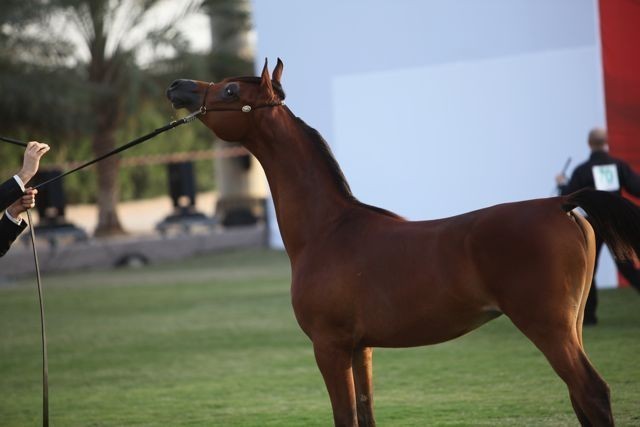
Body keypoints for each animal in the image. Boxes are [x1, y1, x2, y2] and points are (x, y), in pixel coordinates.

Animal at [166, 58, 640, 426]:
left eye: (230, 89)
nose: (179, 86)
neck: (328, 229)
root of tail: (561, 201)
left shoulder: (329, 347)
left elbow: (345, 416)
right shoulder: (361, 349)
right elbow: (365, 414)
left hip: (548, 328)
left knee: (592, 393)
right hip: (571, 325)